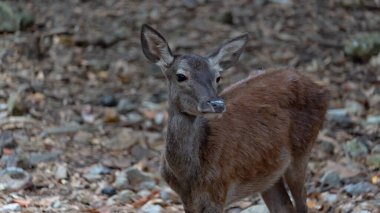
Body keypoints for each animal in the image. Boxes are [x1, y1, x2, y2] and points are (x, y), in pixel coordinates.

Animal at [140, 23, 330, 213]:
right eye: (181, 76)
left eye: (218, 77)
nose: (217, 104)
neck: (188, 176)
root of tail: (321, 88)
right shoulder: (187, 199)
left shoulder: (218, 189)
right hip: (269, 173)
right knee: (284, 206)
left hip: (302, 151)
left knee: (302, 200)